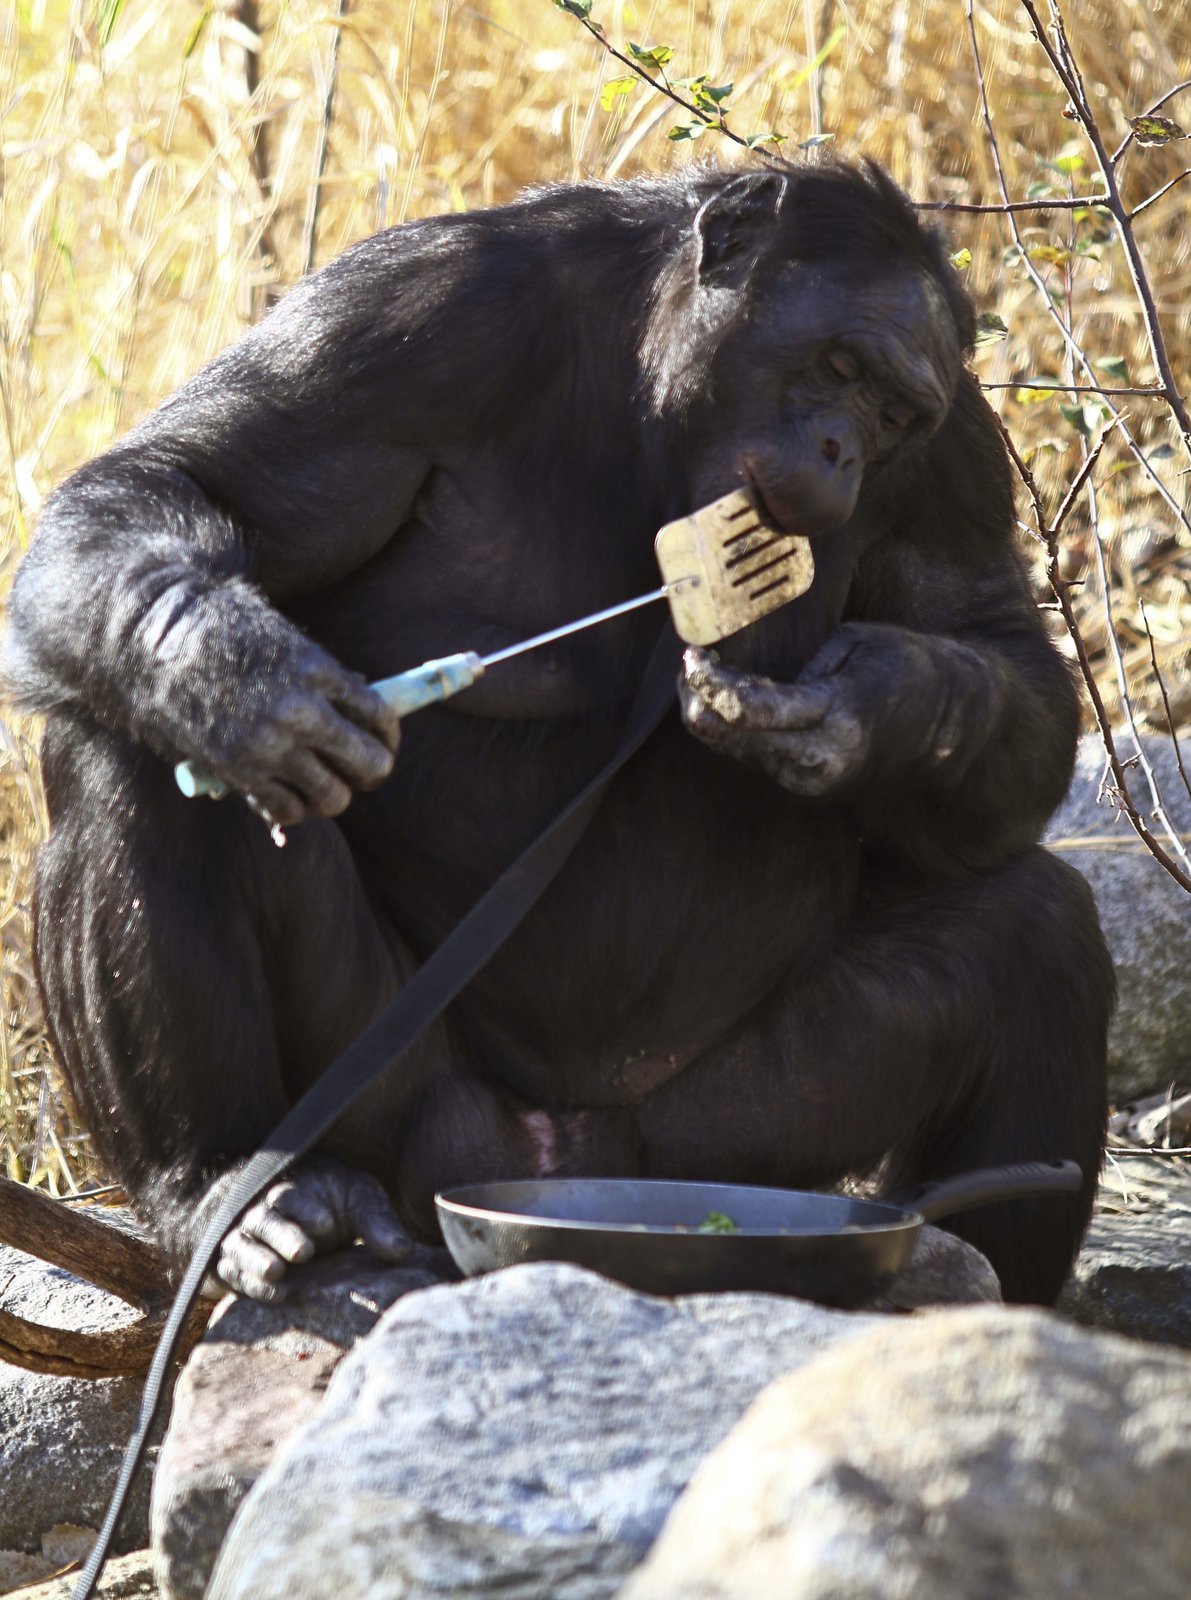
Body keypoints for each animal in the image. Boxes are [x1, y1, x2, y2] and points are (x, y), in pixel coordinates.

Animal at [4, 159, 1114, 1299]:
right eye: (838, 364)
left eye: (893, 412)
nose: (843, 447)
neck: (654, 410)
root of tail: (545, 1167)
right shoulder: (407, 316)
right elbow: (182, 478)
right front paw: (237, 681)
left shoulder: (957, 447)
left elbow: (999, 651)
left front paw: (867, 705)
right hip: (403, 1109)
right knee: (125, 752)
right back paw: (239, 1189)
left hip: (722, 1139)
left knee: (1038, 936)